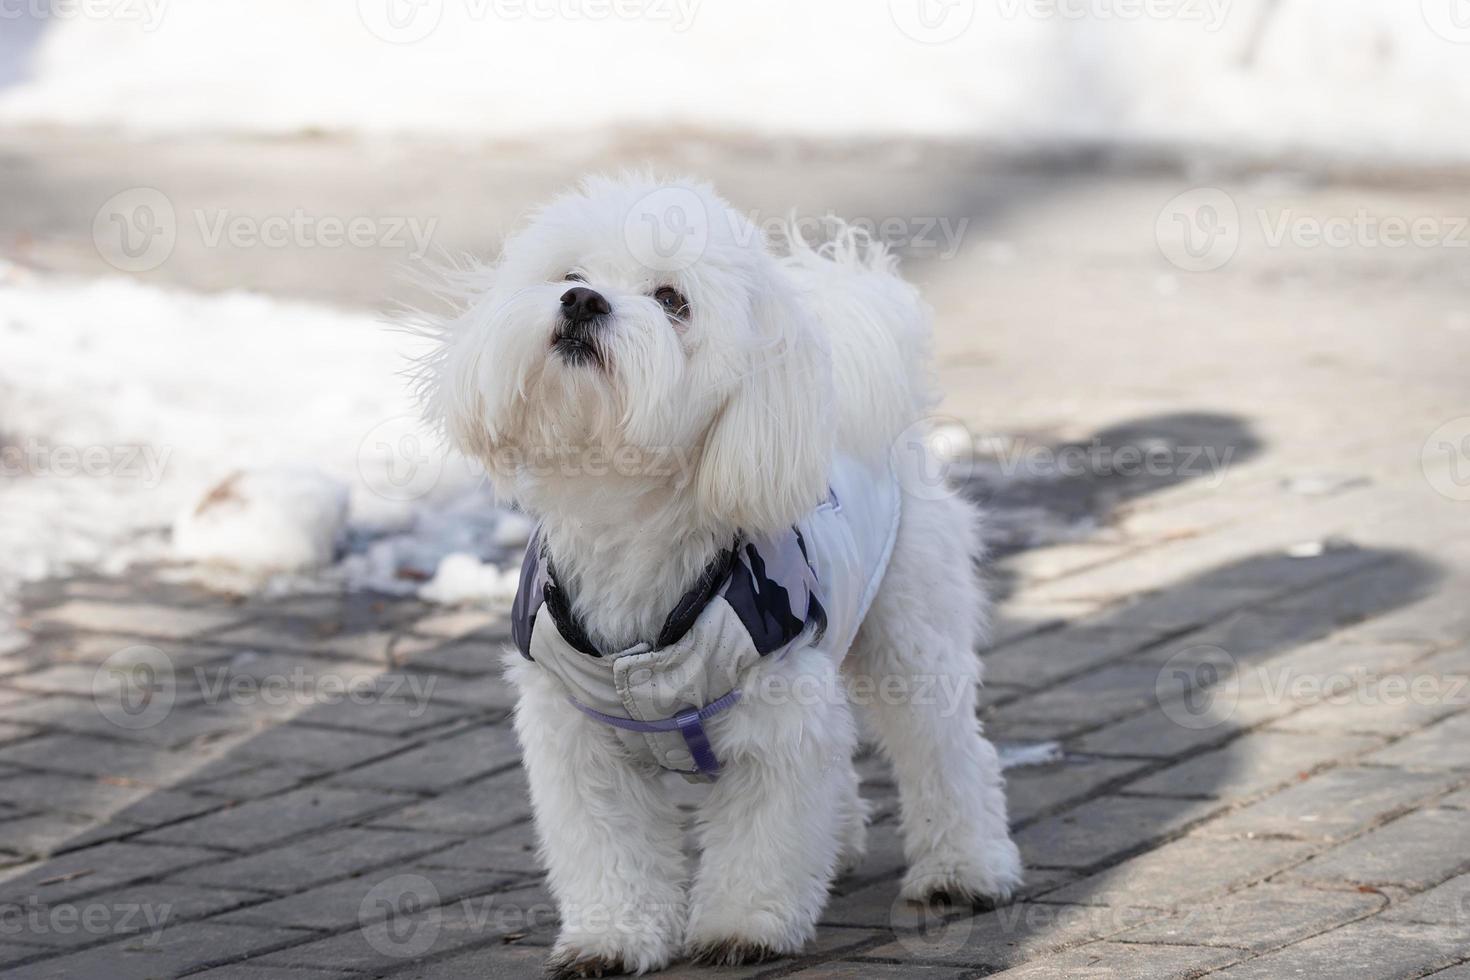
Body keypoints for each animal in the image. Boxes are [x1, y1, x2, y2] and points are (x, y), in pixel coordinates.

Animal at [420, 178, 1023, 980]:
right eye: (568, 272)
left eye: (672, 300)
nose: (581, 301)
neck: (627, 523)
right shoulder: (576, 739)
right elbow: (608, 849)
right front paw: (613, 937)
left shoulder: (777, 713)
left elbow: (763, 836)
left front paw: (745, 925)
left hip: (909, 627)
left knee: (946, 749)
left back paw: (965, 869)